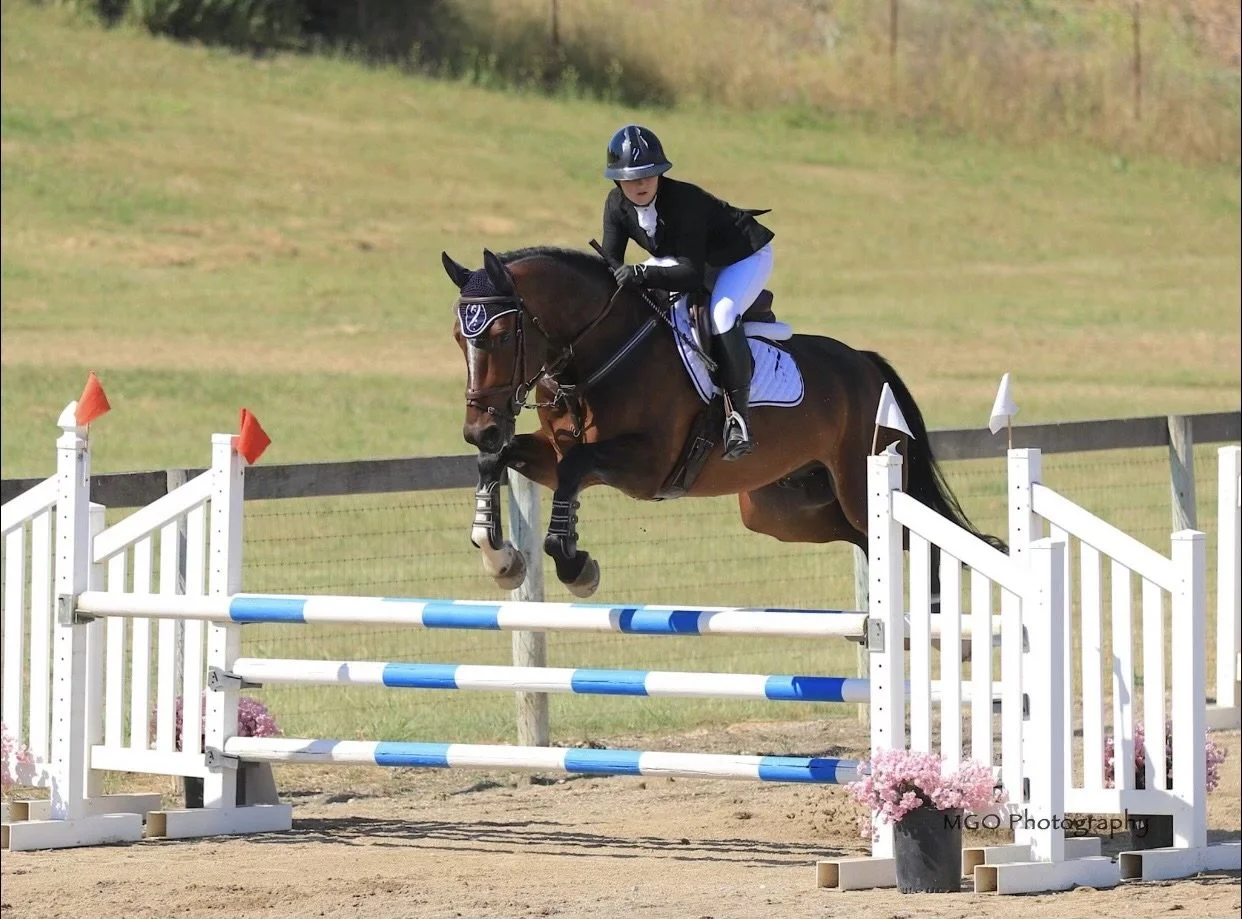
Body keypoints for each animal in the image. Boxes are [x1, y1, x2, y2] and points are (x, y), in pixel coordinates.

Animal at [442, 245, 1004, 599]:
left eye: (499, 337)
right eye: (456, 336)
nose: (477, 429)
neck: (598, 351)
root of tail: (867, 365)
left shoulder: (645, 466)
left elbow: (577, 469)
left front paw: (577, 567)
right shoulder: (552, 453)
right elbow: (503, 461)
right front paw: (500, 559)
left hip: (862, 482)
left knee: (916, 539)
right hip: (779, 508)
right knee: (864, 538)